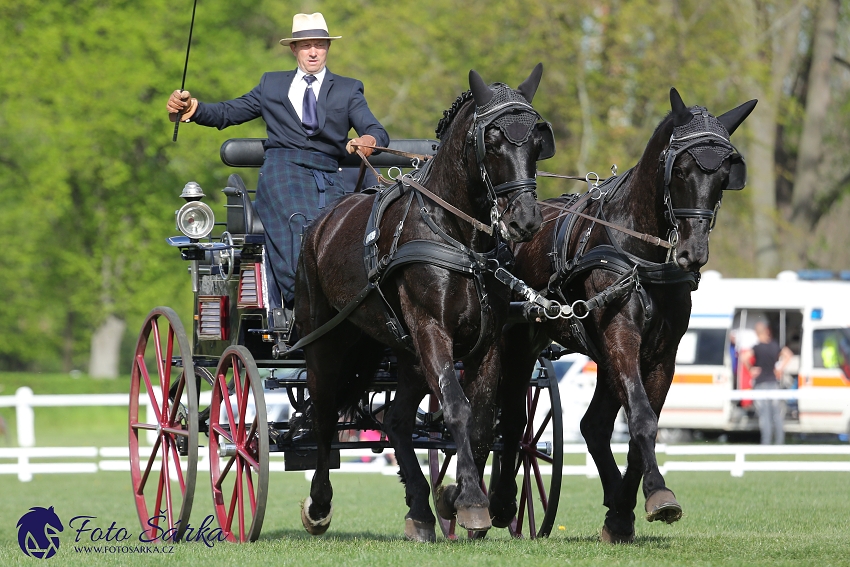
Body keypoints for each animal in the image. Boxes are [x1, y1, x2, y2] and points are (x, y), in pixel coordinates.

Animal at [296, 64, 548, 544]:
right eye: (493, 141)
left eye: (538, 142)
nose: (525, 221)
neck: (459, 239)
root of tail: (321, 223)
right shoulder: (433, 330)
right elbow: (456, 407)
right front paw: (471, 502)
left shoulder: (488, 340)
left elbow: (481, 418)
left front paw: (454, 496)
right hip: (323, 341)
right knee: (322, 416)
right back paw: (318, 504)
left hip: (404, 350)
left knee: (395, 420)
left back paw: (419, 508)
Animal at [490, 87, 756, 540]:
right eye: (680, 169)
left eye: (725, 174)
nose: (693, 253)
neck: (639, 253)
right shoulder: (620, 334)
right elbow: (642, 418)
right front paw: (657, 494)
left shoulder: (661, 353)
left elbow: (638, 424)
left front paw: (628, 509)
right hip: (519, 340)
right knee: (509, 415)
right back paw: (501, 500)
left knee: (593, 425)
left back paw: (615, 504)